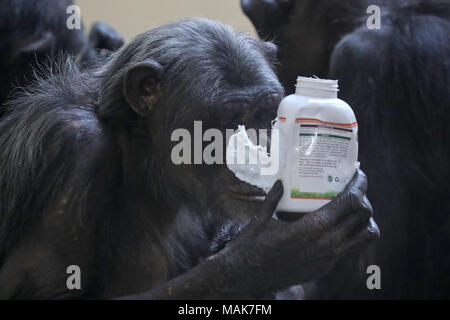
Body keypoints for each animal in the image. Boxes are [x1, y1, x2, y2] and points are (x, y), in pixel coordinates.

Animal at [0, 18, 380, 300]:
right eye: (229, 121)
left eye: (266, 114)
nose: (263, 152)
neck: (146, 160)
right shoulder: (74, 149)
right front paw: (270, 256)